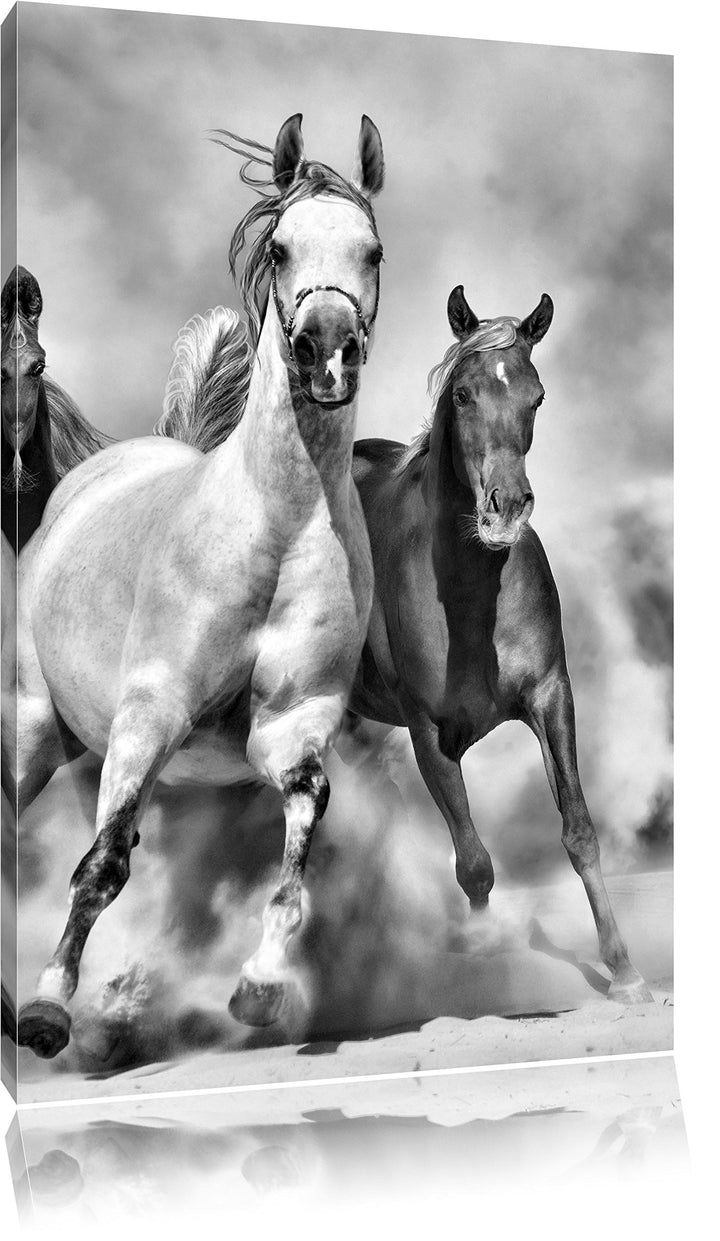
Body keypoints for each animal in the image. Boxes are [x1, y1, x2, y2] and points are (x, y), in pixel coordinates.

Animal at [347, 285, 651, 1004]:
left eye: (536, 396)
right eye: (462, 394)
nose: (505, 506)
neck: (469, 593)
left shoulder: (550, 696)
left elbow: (579, 831)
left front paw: (624, 971)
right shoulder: (428, 733)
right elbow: (475, 863)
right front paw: (485, 957)